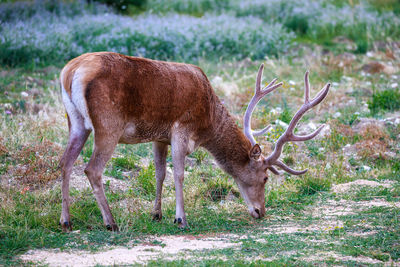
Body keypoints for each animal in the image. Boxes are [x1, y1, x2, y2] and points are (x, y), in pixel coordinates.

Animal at [58, 51, 328, 232]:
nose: (261, 212)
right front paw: (181, 219)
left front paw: (156, 214)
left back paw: (66, 220)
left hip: (76, 123)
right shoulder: (182, 128)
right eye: (265, 178)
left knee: (65, 163)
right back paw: (111, 222)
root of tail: (70, 72)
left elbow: (160, 173)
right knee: (92, 169)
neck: (207, 121)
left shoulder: (160, 137)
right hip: (108, 125)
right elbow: (179, 173)